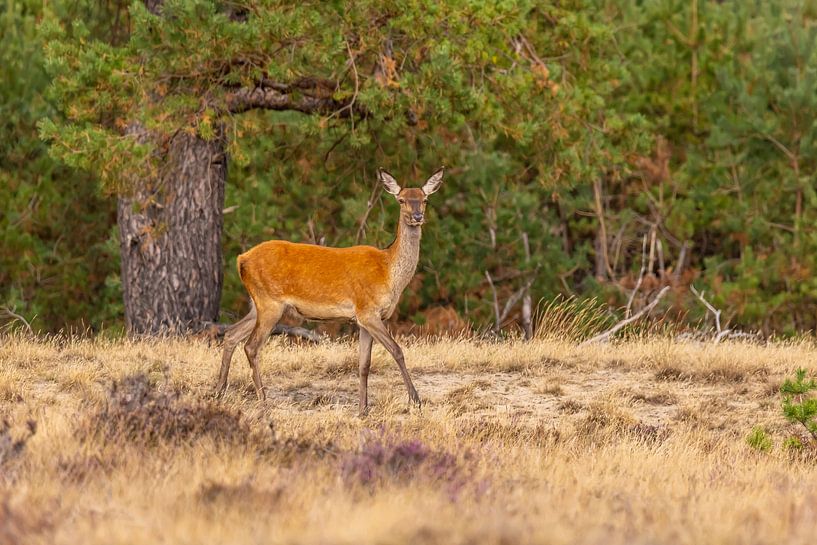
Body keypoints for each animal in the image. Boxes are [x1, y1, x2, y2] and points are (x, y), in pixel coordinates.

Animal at [214, 167, 445, 415]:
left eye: (424, 199)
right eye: (401, 200)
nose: (417, 216)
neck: (389, 273)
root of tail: (241, 259)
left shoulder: (363, 318)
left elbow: (364, 364)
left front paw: (363, 410)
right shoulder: (367, 310)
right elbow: (397, 350)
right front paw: (416, 401)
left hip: (257, 303)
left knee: (231, 334)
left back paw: (219, 392)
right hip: (270, 303)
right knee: (251, 346)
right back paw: (263, 399)